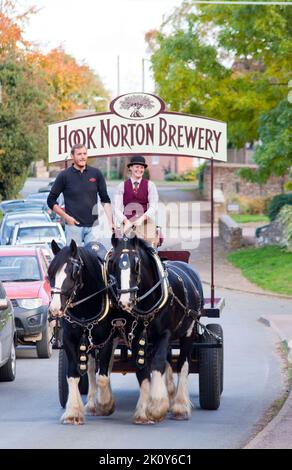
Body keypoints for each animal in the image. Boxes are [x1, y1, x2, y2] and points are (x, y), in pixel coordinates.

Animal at [48, 241, 124, 424]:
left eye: (73, 272)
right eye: (50, 273)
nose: (54, 308)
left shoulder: (107, 339)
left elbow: (103, 375)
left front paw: (106, 404)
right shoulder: (70, 340)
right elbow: (73, 375)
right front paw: (73, 411)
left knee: (106, 367)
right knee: (90, 368)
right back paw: (91, 403)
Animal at [108, 235, 204, 422]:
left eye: (136, 264)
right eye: (113, 263)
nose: (125, 301)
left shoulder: (165, 334)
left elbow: (158, 363)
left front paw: (158, 405)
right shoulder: (137, 337)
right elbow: (142, 367)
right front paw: (144, 410)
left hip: (189, 332)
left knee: (183, 364)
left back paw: (180, 405)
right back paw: (170, 393)